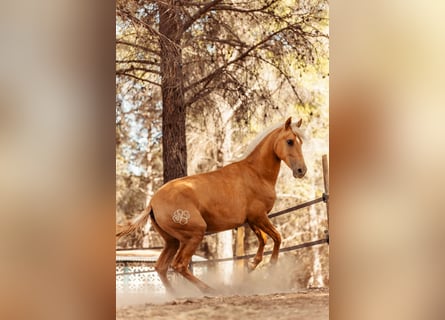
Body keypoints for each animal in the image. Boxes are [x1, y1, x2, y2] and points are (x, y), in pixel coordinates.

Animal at [116, 116, 306, 294]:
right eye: (290, 141)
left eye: (300, 142)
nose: (301, 171)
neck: (256, 173)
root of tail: (152, 203)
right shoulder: (259, 217)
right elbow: (277, 237)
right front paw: (271, 267)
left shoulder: (252, 220)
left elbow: (264, 240)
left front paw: (252, 265)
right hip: (194, 235)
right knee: (179, 265)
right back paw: (209, 290)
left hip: (172, 241)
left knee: (161, 267)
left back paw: (175, 294)